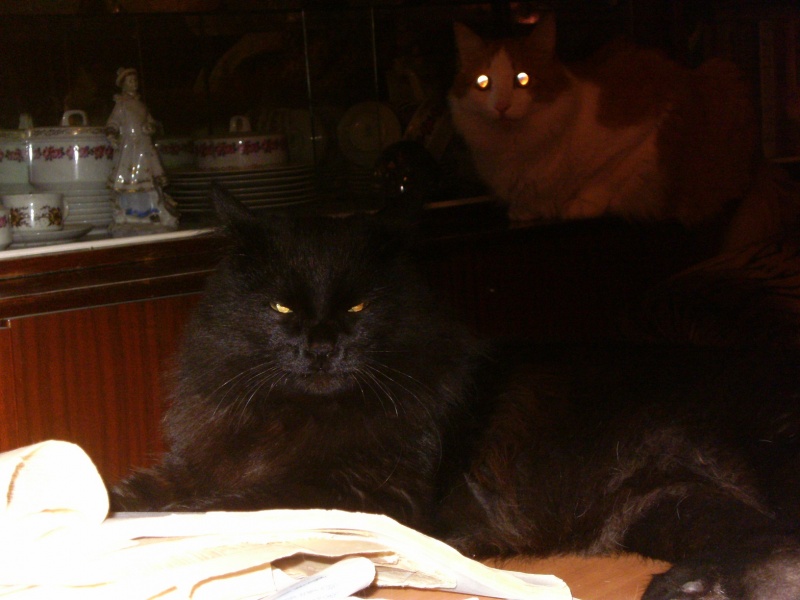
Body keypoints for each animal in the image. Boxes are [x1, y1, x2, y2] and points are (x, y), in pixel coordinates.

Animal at [111, 186, 800, 600]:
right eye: (282, 308)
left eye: (358, 307)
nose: (321, 346)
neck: (303, 410)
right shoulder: (204, 458)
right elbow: (145, 487)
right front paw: (110, 510)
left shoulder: (364, 494)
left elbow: (238, 505)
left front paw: (165, 528)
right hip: (671, 508)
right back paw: (695, 586)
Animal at [447, 13, 760, 230]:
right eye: (483, 83)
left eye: (522, 79)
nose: (501, 106)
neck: (516, 147)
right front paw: (526, 210)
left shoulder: (648, 124)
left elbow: (607, 175)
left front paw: (580, 204)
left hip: (720, 71)